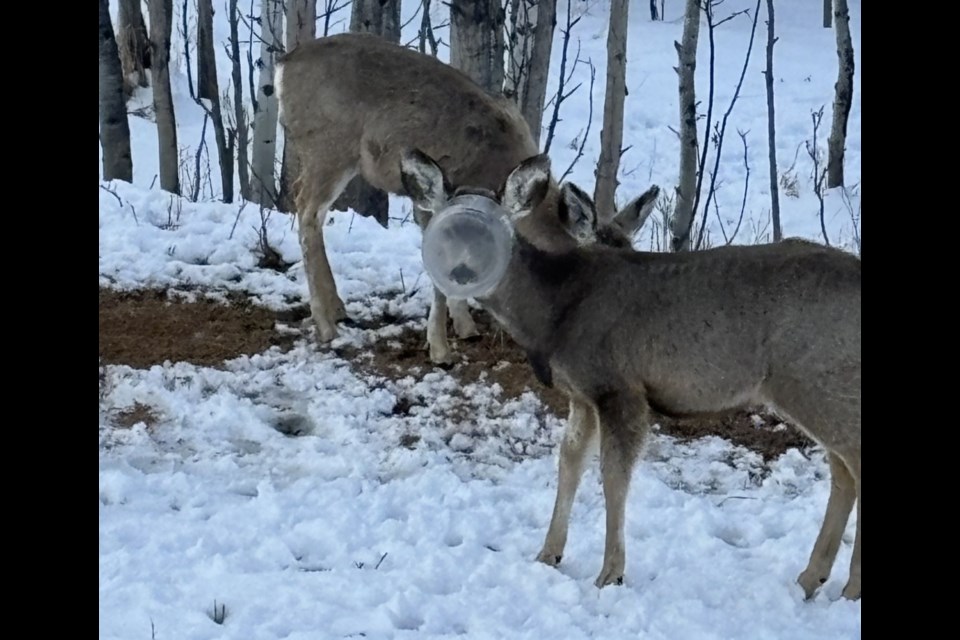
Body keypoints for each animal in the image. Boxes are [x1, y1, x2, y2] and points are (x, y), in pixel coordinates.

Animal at [276, 33, 548, 364]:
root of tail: (283, 66)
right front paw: (441, 348)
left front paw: (464, 326)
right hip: (328, 147)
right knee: (307, 210)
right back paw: (326, 324)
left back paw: (338, 309)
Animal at [402, 150, 868, 600]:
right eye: (447, 229)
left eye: (492, 229)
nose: (462, 271)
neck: (556, 309)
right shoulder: (581, 392)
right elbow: (569, 462)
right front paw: (548, 553)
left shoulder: (619, 385)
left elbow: (613, 476)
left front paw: (610, 574)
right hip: (818, 385)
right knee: (842, 471)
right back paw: (810, 579)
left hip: (815, 378)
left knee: (854, 463)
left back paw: (850, 588)